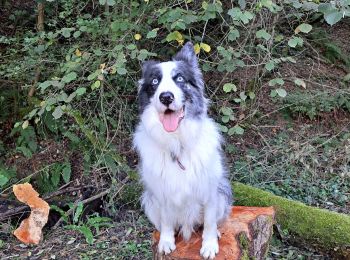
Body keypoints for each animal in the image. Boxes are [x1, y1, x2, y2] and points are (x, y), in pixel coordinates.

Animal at [133, 41, 232, 258]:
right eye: (155, 82)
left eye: (179, 78)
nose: (166, 97)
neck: (177, 141)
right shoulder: (161, 192)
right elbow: (166, 221)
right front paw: (166, 241)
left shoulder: (210, 190)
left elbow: (209, 222)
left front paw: (209, 245)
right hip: (148, 200)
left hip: (223, 192)